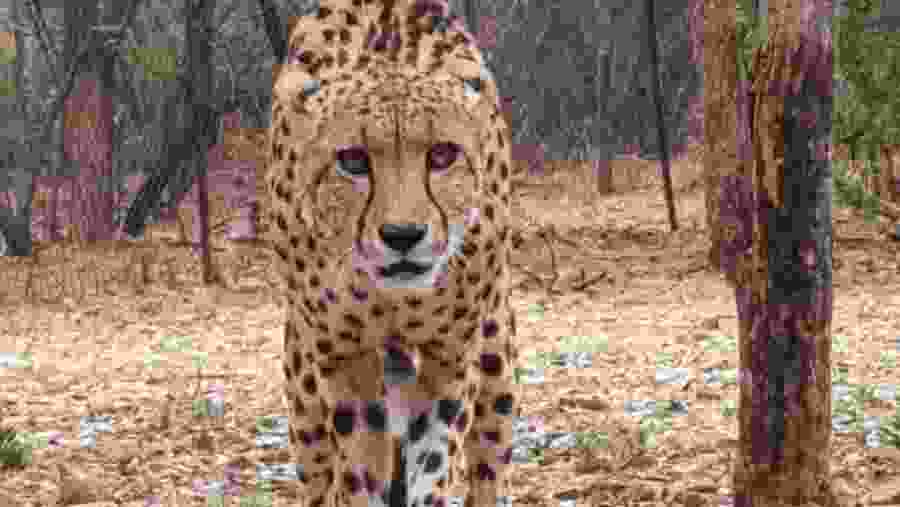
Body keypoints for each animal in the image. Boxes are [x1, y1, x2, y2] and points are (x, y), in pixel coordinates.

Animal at [265, 1, 520, 506]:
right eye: (352, 160)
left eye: (442, 155)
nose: (403, 235)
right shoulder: (341, 358)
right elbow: (360, 470)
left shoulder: (450, 356)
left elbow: (435, 460)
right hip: (303, 395)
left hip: (496, 360)